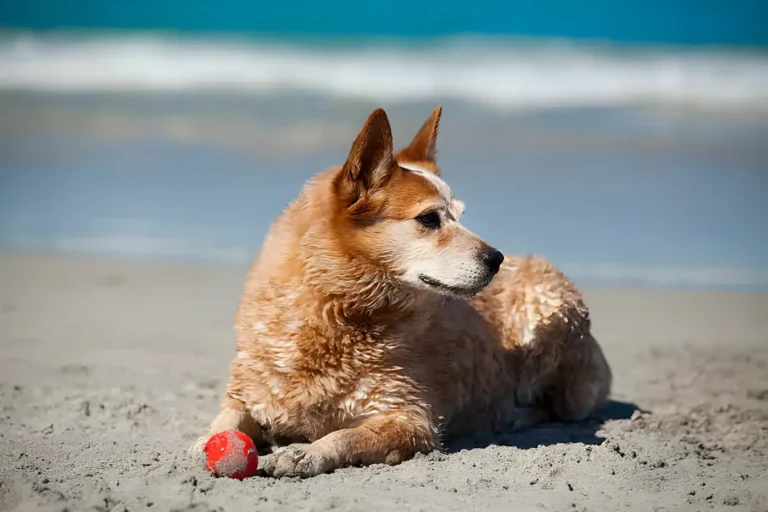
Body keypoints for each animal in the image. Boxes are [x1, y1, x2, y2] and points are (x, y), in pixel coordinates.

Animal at [192, 106, 612, 478]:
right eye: (429, 218)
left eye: (460, 216)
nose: (496, 258)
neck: (337, 311)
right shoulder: (248, 393)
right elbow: (226, 417)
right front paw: (205, 441)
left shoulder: (411, 418)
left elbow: (345, 436)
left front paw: (304, 454)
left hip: (547, 328)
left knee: (557, 405)